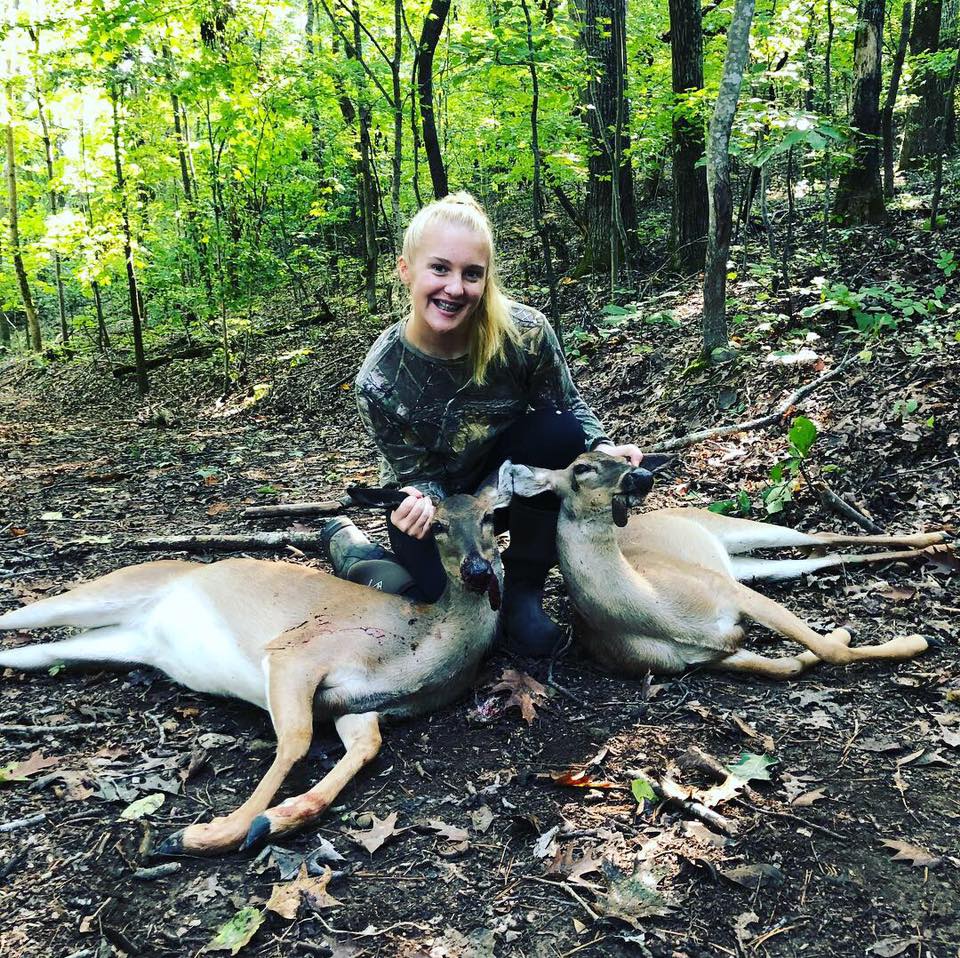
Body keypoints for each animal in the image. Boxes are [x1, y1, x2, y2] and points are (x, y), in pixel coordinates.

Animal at [0, 492, 506, 860]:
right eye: (437, 525)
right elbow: (297, 740)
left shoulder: (356, 705)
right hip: (107, 590)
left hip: (112, 644)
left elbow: (367, 747)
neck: (415, 646)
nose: (478, 569)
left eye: (490, 517)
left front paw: (277, 819)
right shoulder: (295, 652)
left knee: (27, 651)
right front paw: (204, 834)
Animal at [502, 454, 944, 680]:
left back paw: (934, 537)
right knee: (825, 555)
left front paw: (916, 641)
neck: (653, 609)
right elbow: (788, 666)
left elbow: (825, 650)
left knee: (823, 536)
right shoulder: (704, 657)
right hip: (742, 566)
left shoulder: (729, 591)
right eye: (582, 467)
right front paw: (845, 633)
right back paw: (929, 547)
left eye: (617, 454)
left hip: (729, 536)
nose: (643, 474)